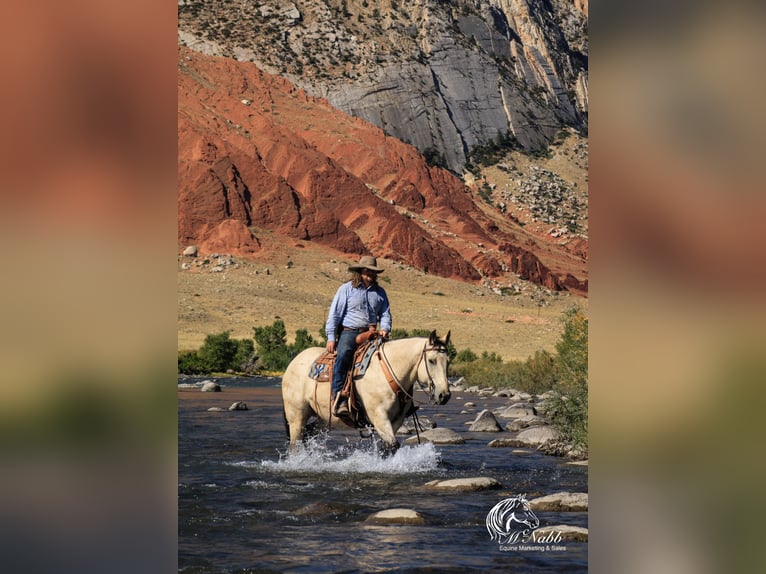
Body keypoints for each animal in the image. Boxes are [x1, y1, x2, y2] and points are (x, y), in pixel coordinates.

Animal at [282, 330, 452, 456]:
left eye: (448, 361)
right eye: (431, 360)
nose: (444, 395)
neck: (388, 373)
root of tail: (293, 362)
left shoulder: (396, 420)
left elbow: (387, 447)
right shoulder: (379, 416)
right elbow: (392, 445)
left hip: (322, 418)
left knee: (308, 434)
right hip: (296, 416)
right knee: (295, 444)